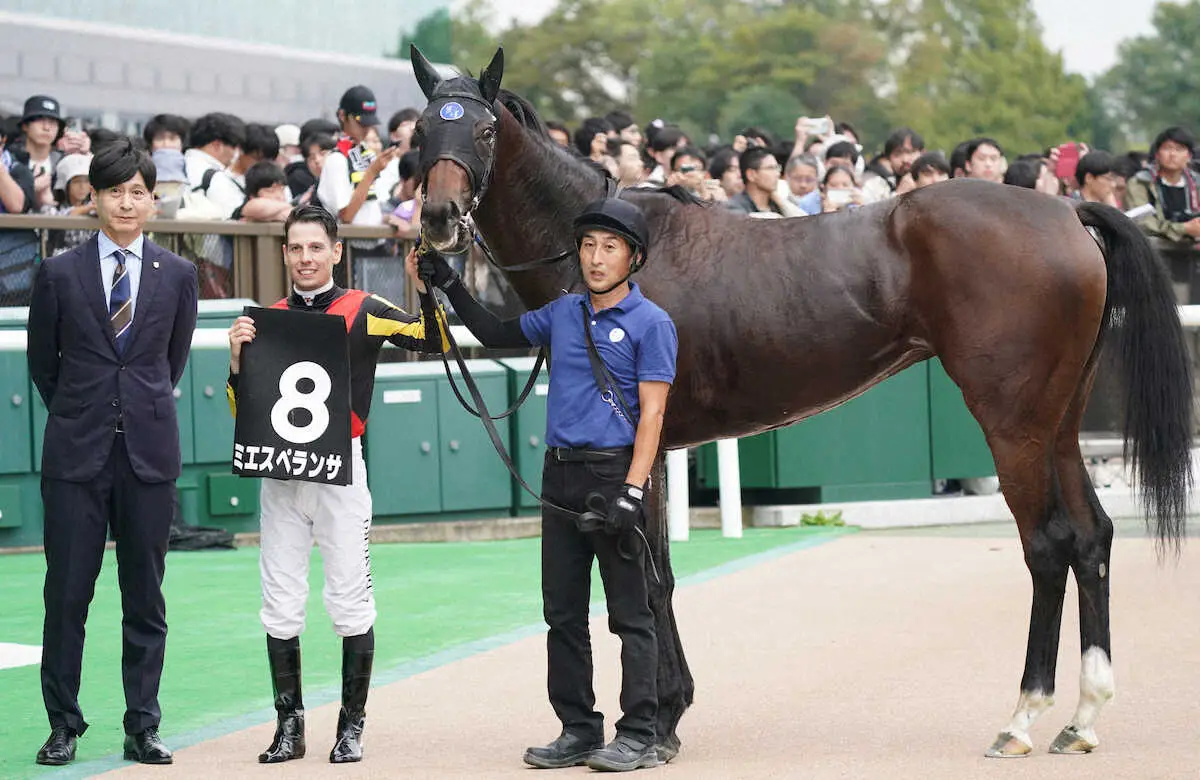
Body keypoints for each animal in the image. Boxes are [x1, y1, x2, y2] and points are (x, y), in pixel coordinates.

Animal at [405, 45, 1190, 758]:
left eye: (482, 132)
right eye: (419, 134)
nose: (439, 219)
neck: (610, 248)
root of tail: (1070, 214)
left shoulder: (643, 444)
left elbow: (650, 579)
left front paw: (656, 727)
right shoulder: (654, 454)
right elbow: (660, 575)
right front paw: (670, 713)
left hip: (1014, 425)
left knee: (1049, 545)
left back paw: (1022, 717)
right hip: (1059, 422)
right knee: (1091, 536)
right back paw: (1082, 718)